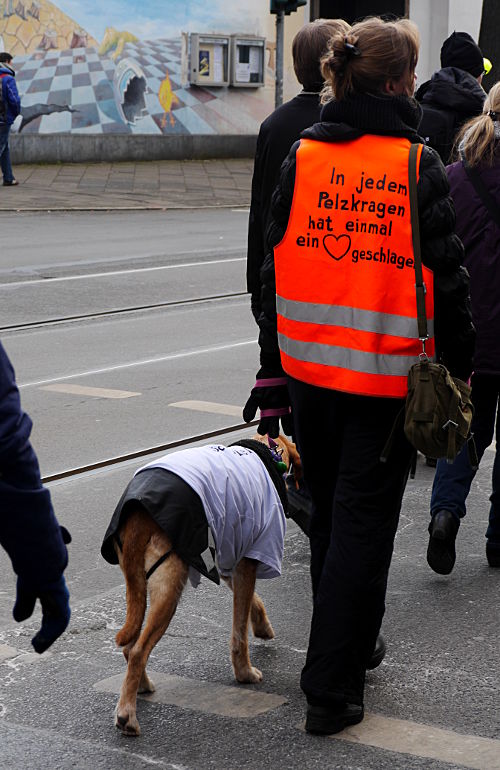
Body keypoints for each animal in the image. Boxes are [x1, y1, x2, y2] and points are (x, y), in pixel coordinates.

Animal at [99, 432, 298, 732]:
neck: (266, 451)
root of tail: (137, 514)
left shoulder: (230, 558)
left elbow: (252, 601)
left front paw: (262, 625)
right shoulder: (250, 558)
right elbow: (239, 630)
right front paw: (244, 672)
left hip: (139, 583)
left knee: (130, 646)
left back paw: (140, 686)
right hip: (169, 588)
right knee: (137, 651)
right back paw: (127, 714)